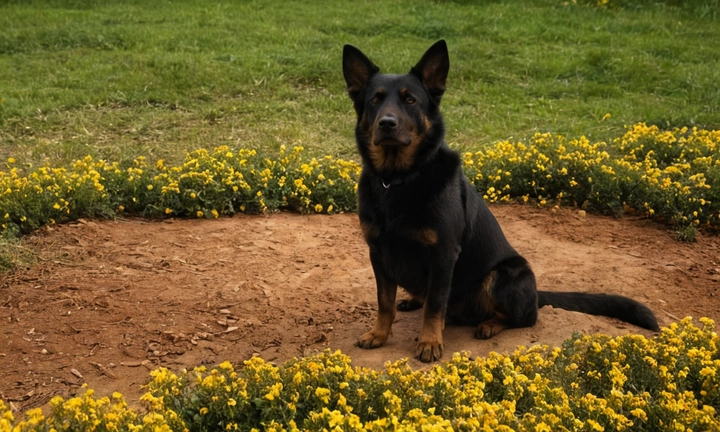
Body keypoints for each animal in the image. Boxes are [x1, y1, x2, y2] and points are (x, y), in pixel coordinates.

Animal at [342, 41, 660, 364]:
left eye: (410, 100)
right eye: (374, 100)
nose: (386, 123)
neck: (398, 178)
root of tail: (536, 293)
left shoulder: (443, 255)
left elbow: (435, 306)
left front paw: (430, 342)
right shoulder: (378, 252)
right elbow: (385, 302)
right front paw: (379, 334)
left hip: (502, 276)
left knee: (524, 317)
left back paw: (490, 324)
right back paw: (413, 301)